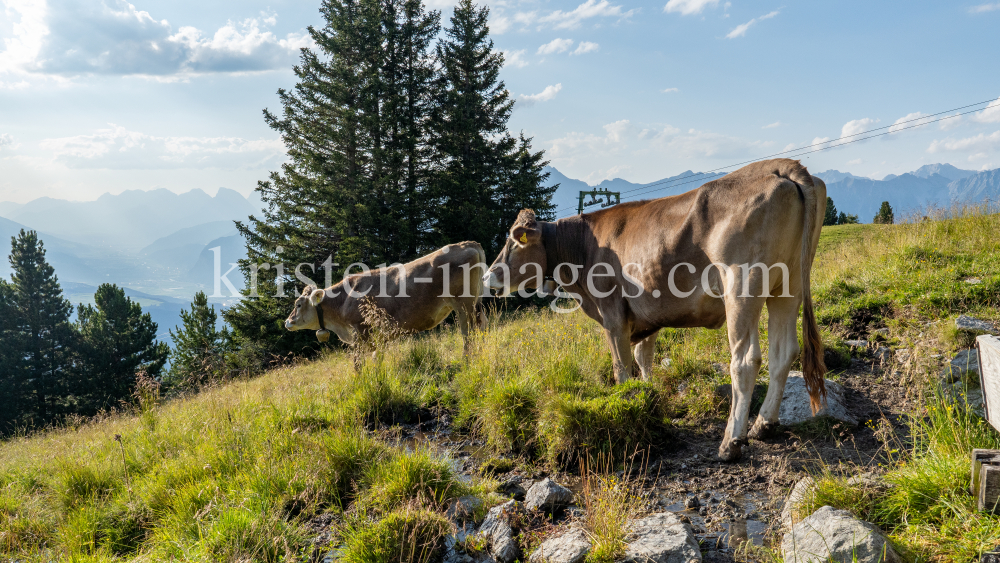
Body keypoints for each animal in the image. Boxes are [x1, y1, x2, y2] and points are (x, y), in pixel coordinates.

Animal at [286, 240, 488, 354]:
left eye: (298, 304)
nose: (287, 321)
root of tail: (468, 243)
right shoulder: (379, 337)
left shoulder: (360, 332)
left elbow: (359, 365)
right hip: (476, 302)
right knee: (482, 326)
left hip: (464, 304)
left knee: (468, 333)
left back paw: (468, 359)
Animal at [484, 160, 828, 462]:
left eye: (513, 243)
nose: (487, 276)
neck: (583, 250)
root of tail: (781, 165)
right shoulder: (647, 314)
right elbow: (643, 358)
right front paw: (648, 399)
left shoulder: (612, 314)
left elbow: (621, 366)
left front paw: (626, 406)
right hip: (789, 284)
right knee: (783, 352)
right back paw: (763, 425)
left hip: (742, 286)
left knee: (745, 361)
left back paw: (731, 442)